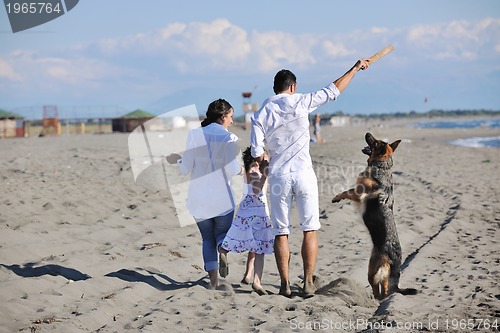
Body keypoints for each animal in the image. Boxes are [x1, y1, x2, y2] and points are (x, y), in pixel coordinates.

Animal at [332, 132, 414, 298]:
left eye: (375, 142)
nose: (367, 133)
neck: (382, 166)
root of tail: (395, 262)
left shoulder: (358, 193)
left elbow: (346, 191)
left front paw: (337, 197)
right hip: (379, 272)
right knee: (385, 287)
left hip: (372, 270)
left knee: (378, 290)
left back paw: (373, 298)